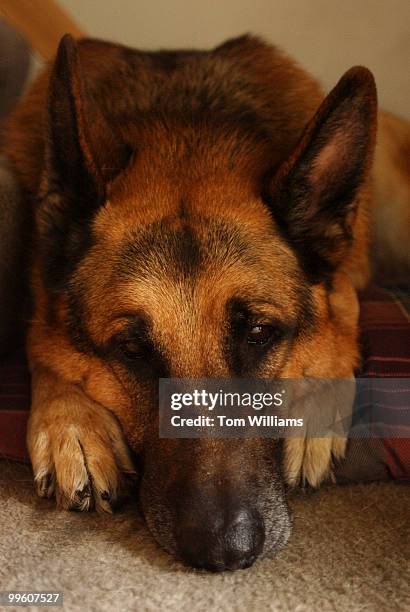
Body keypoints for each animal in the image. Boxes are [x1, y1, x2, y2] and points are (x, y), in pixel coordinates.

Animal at [2, 34, 410, 568]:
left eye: (258, 333)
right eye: (132, 350)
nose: (224, 550)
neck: (186, 129)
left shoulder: (349, 273)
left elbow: (343, 310)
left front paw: (314, 414)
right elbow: (42, 345)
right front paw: (71, 422)